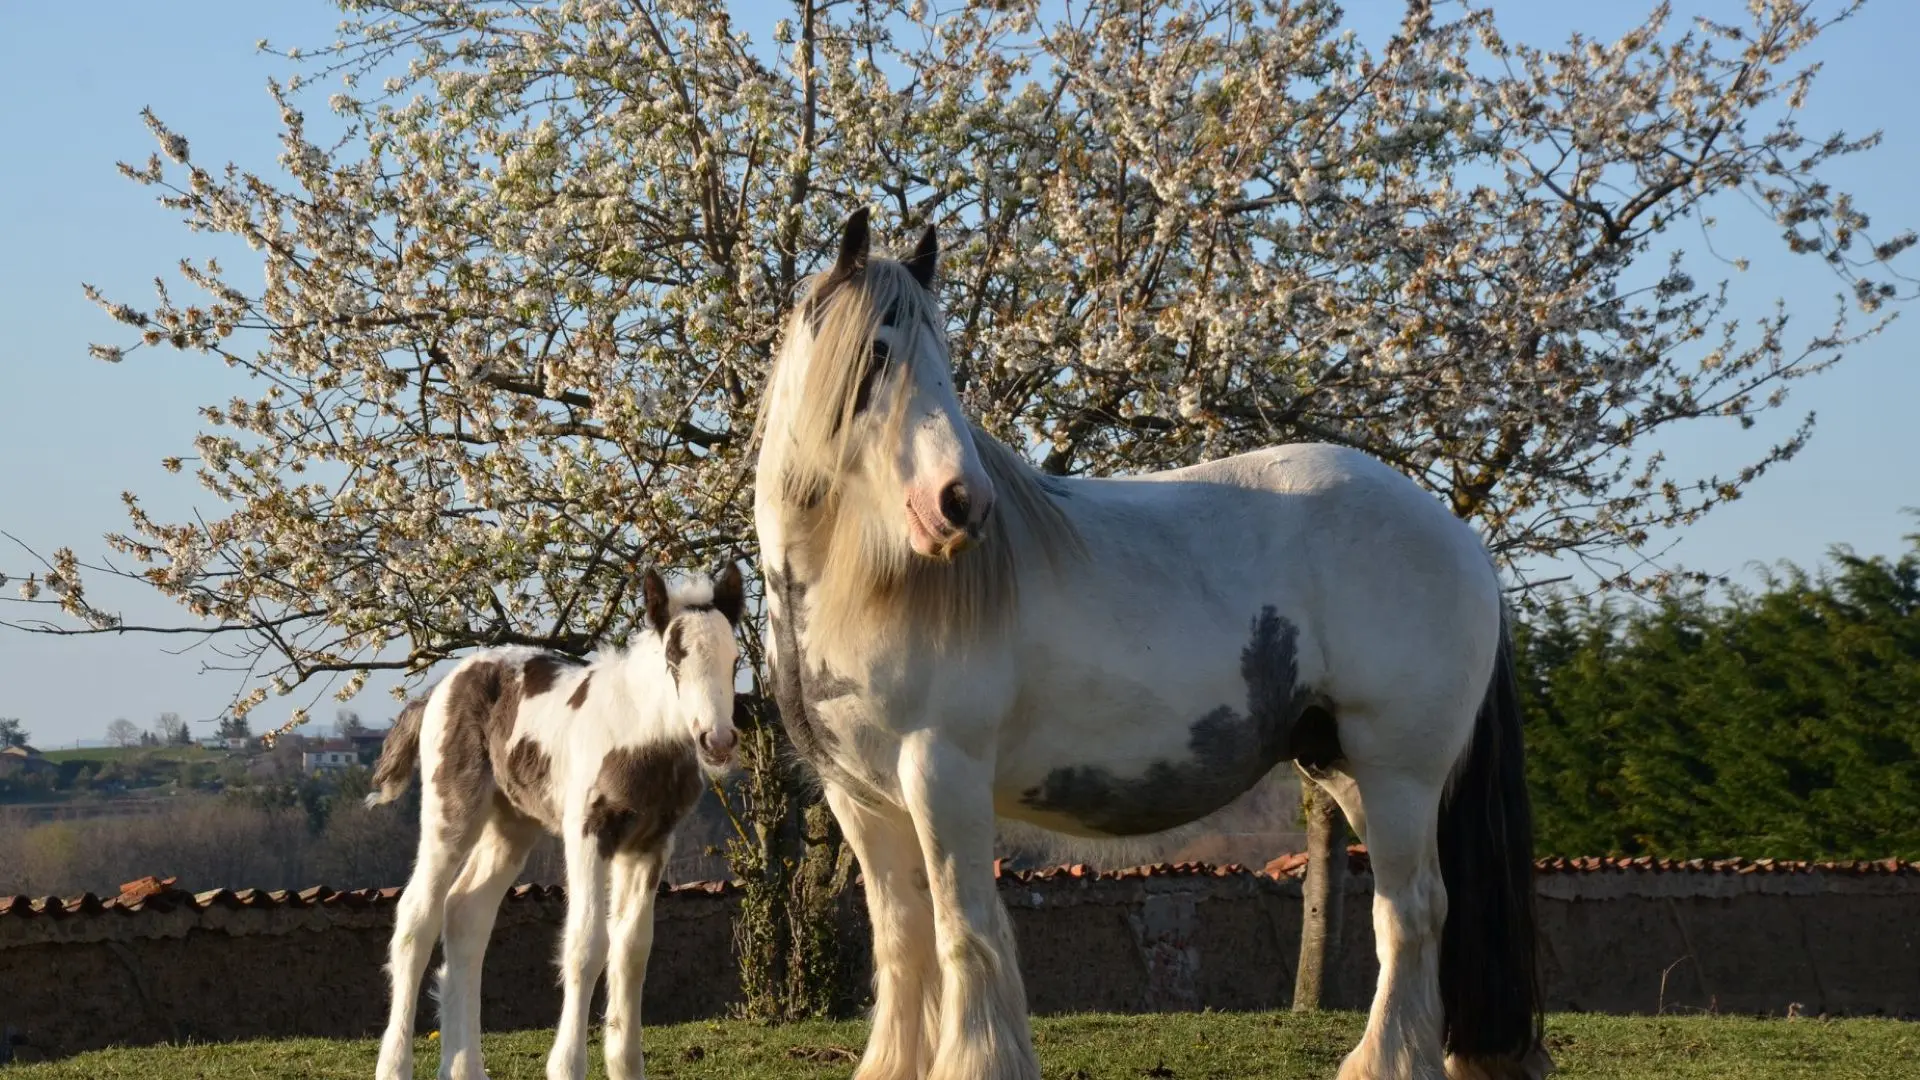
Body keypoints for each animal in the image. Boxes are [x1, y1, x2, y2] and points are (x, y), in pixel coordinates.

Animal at [365, 564, 745, 1080]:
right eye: (674, 658)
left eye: (735, 658)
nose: (717, 741)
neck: (639, 734)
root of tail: (440, 687)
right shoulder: (588, 832)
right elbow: (586, 944)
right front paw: (566, 1065)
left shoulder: (650, 843)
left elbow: (632, 950)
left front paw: (625, 1064)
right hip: (452, 810)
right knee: (416, 918)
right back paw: (394, 1064)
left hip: (511, 825)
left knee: (466, 915)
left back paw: (465, 1068)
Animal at [749, 207, 1548, 1080]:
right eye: (877, 353)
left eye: (942, 361)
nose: (961, 504)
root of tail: (1459, 537)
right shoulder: (861, 797)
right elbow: (903, 939)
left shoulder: (941, 773)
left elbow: (965, 931)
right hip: (1345, 768)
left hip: (1398, 770)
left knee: (1412, 910)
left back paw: (1384, 1063)